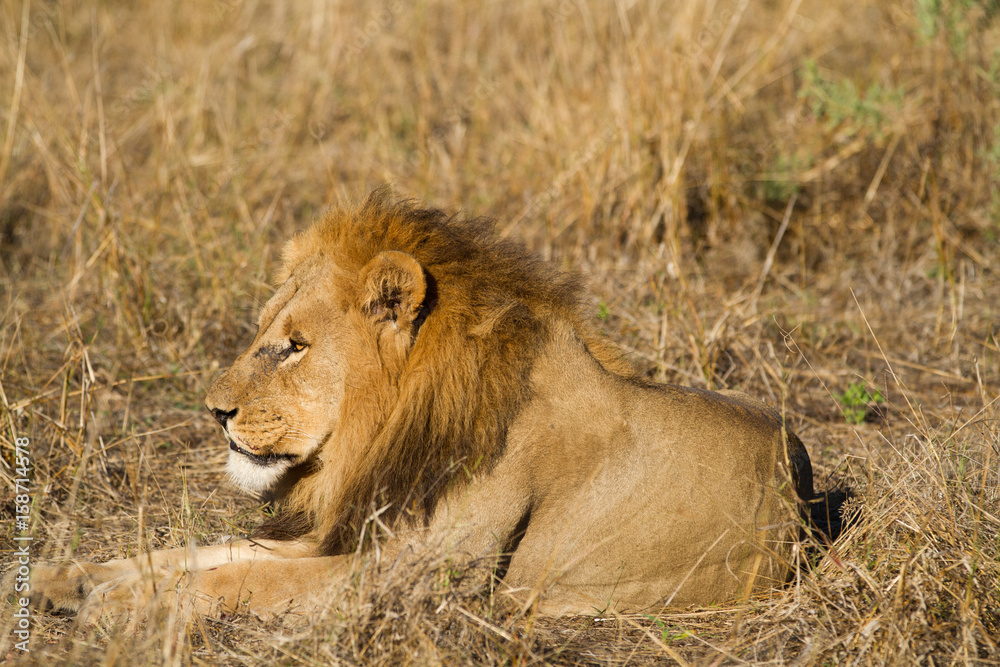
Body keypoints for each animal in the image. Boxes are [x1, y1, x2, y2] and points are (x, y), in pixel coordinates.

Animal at [23, 188, 814, 621]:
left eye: (294, 346)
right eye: (263, 335)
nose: (214, 412)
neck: (380, 433)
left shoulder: (412, 575)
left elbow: (248, 575)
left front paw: (123, 607)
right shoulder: (349, 529)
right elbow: (206, 551)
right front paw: (68, 577)